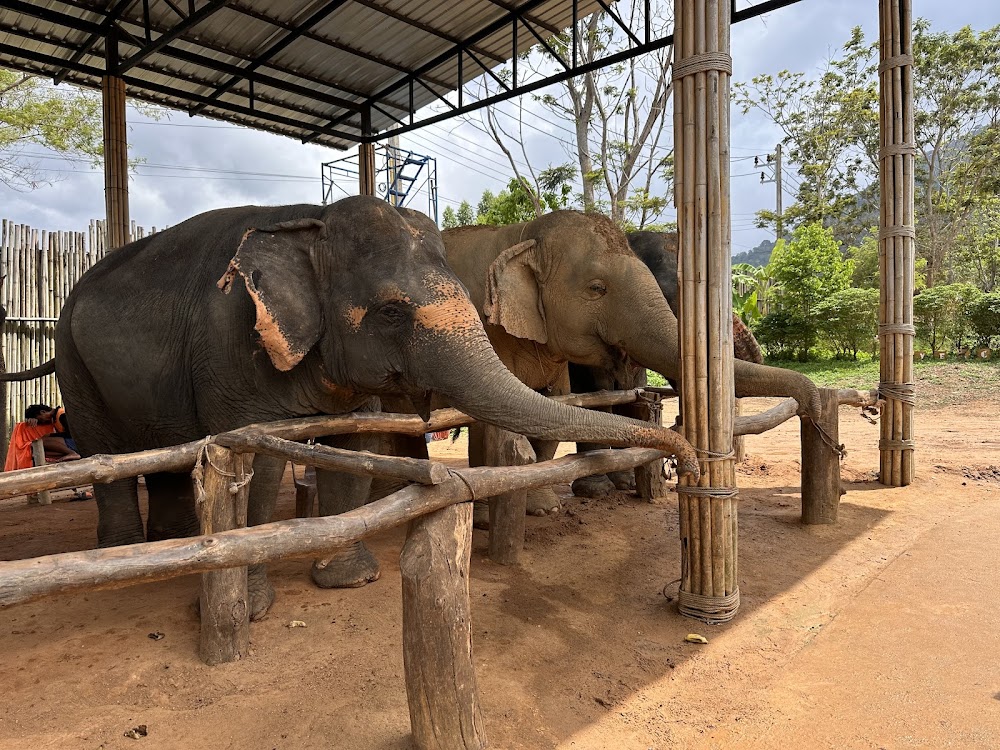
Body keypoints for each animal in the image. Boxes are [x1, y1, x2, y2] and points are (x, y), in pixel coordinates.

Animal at [22, 196, 697, 619]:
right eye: (392, 312)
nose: (688, 463)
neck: (309, 224)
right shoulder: (229, 346)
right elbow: (254, 456)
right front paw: (255, 605)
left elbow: (363, 442)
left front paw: (348, 576)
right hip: (72, 361)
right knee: (108, 452)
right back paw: (126, 555)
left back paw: (176, 542)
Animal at [439, 211, 819, 516]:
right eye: (597, 288)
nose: (812, 409)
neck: (521, 234)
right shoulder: (485, 327)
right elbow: (492, 423)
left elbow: (567, 408)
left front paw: (553, 505)